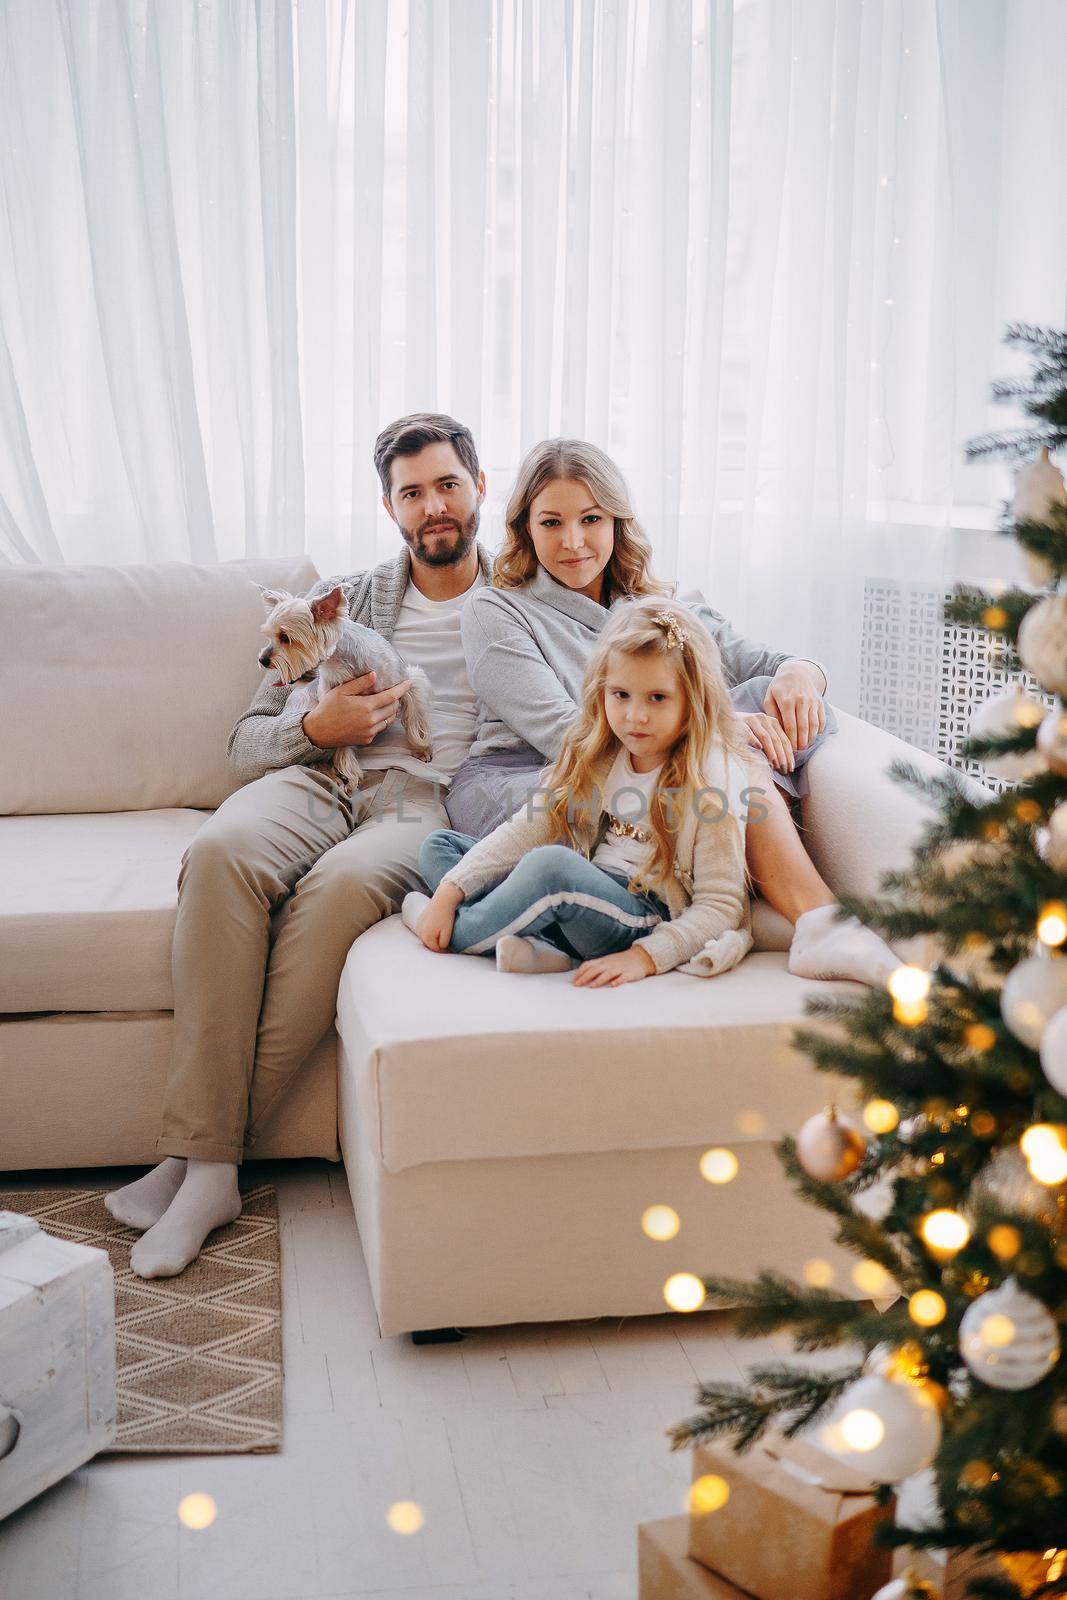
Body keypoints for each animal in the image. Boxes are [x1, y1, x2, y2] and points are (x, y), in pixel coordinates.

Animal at [255, 582, 431, 793]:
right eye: (270, 637)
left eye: (285, 638)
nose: (262, 660)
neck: (343, 663)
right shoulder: (337, 710)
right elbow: (342, 739)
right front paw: (351, 775)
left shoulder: (407, 682)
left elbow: (415, 718)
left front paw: (421, 749)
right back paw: (332, 774)